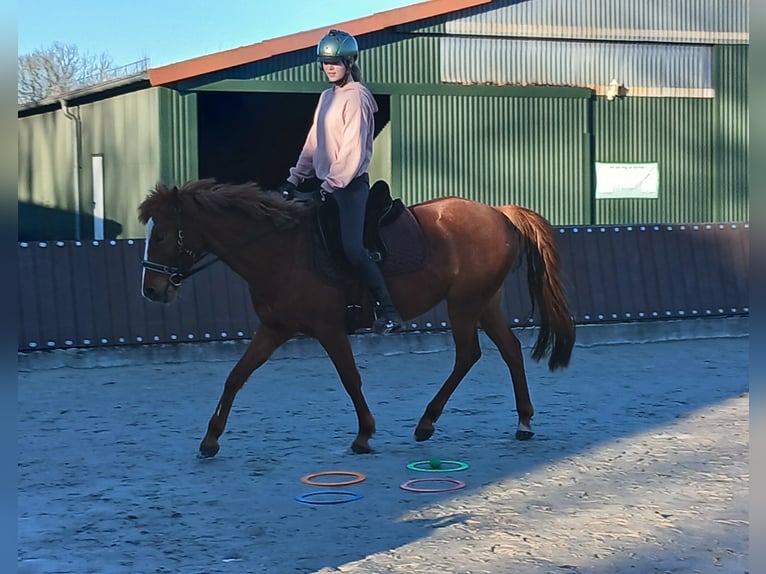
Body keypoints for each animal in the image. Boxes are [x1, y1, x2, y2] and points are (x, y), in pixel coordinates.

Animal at [138, 179, 575, 457]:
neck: (281, 250)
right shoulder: (275, 328)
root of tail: (498, 212)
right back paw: (522, 422)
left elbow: (350, 379)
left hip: (465, 304)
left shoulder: (329, 329)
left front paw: (364, 434)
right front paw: (210, 439)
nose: (151, 291)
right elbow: (236, 376)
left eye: (160, 235)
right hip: (484, 302)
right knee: (510, 350)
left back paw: (427, 422)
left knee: (468, 355)